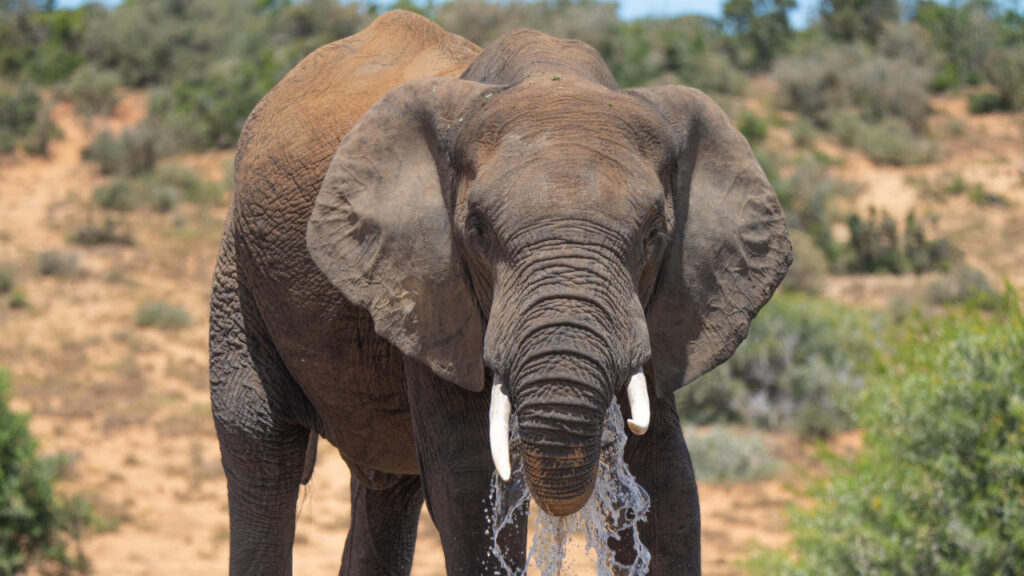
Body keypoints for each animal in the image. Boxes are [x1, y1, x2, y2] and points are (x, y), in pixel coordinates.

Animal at [209, 8, 790, 573]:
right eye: (478, 231)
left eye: (654, 234)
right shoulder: (431, 290)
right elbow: (468, 486)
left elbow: (670, 483)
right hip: (238, 269)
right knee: (259, 447)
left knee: (387, 488)